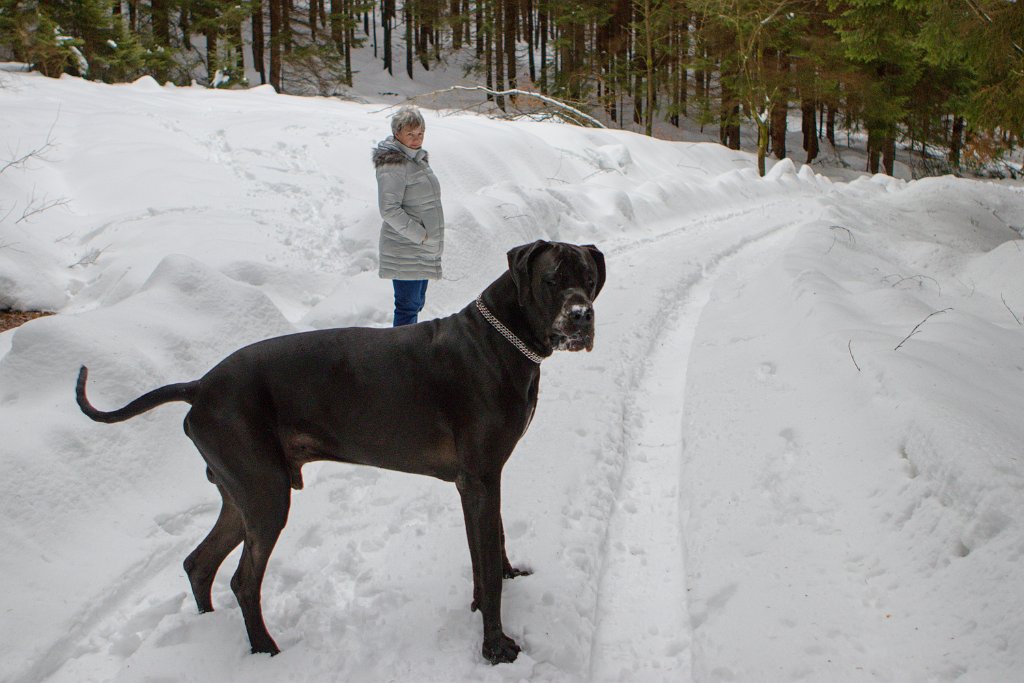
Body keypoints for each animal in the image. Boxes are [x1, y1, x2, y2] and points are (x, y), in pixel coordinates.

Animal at [75, 239, 602, 663]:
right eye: (553, 280)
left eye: (589, 279)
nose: (581, 316)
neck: (502, 339)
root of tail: (200, 386)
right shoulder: (479, 478)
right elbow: (486, 566)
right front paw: (495, 648)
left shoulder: (485, 478)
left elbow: (492, 547)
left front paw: (504, 581)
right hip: (266, 495)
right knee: (242, 580)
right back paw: (266, 651)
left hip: (242, 493)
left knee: (199, 563)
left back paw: (208, 628)